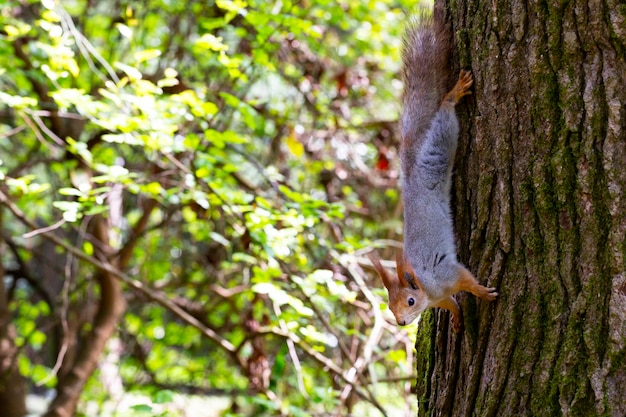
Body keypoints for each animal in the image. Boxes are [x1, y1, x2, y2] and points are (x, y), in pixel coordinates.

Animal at [368, 13, 494, 332]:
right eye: (390, 306)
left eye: (410, 301)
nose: (401, 323)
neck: (427, 289)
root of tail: (411, 172)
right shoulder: (440, 297)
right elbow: (451, 303)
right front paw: (457, 318)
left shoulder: (446, 272)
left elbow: (466, 279)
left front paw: (482, 292)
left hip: (437, 151)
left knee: (445, 117)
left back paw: (453, 94)